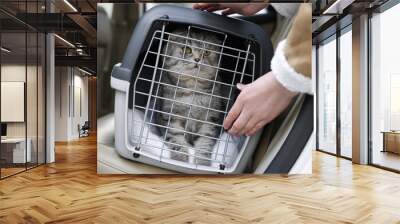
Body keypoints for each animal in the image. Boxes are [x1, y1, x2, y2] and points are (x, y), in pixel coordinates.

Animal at [155, 29, 225, 166]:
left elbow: (205, 143)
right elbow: (176, 139)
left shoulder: (209, 119)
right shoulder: (172, 117)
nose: (197, 59)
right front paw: (180, 159)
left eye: (206, 52)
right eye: (187, 49)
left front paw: (202, 163)